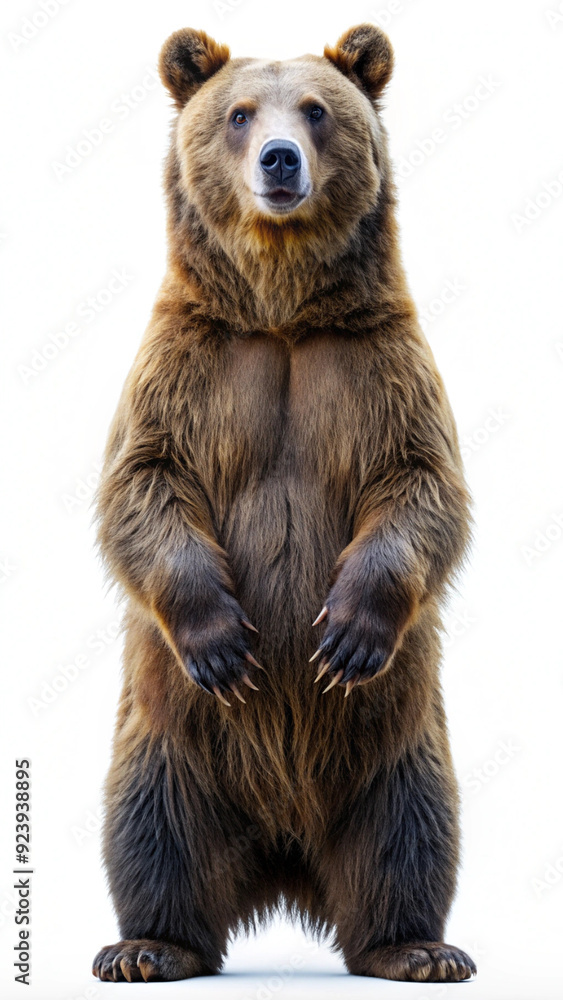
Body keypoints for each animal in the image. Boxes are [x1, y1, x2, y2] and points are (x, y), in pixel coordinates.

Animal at [92, 23, 476, 984]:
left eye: (315, 109)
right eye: (236, 113)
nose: (278, 158)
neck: (281, 311)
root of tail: (283, 862)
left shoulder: (377, 364)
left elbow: (423, 487)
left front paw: (344, 634)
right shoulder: (190, 363)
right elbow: (141, 486)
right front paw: (225, 641)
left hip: (397, 740)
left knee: (410, 830)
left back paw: (416, 946)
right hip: (172, 738)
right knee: (150, 826)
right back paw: (148, 945)